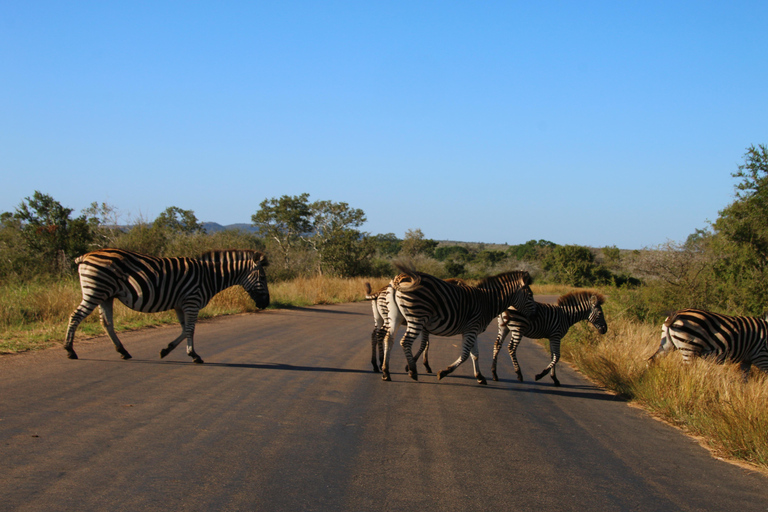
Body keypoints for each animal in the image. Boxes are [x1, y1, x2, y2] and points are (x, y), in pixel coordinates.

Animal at [65, 249, 270, 362]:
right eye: (262, 277)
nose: (266, 303)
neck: (209, 276)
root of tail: (84, 256)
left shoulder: (181, 304)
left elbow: (185, 329)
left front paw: (167, 350)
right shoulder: (192, 301)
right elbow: (190, 329)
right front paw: (194, 355)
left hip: (105, 295)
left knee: (107, 323)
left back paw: (123, 351)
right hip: (95, 290)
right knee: (75, 316)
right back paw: (70, 350)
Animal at [382, 266, 536, 386]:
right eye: (530, 295)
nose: (533, 316)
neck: (487, 303)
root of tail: (399, 277)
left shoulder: (473, 330)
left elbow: (475, 354)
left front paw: (480, 377)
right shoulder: (471, 329)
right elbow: (465, 354)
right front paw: (444, 372)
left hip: (395, 316)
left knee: (388, 339)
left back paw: (386, 372)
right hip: (417, 316)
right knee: (405, 341)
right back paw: (413, 371)